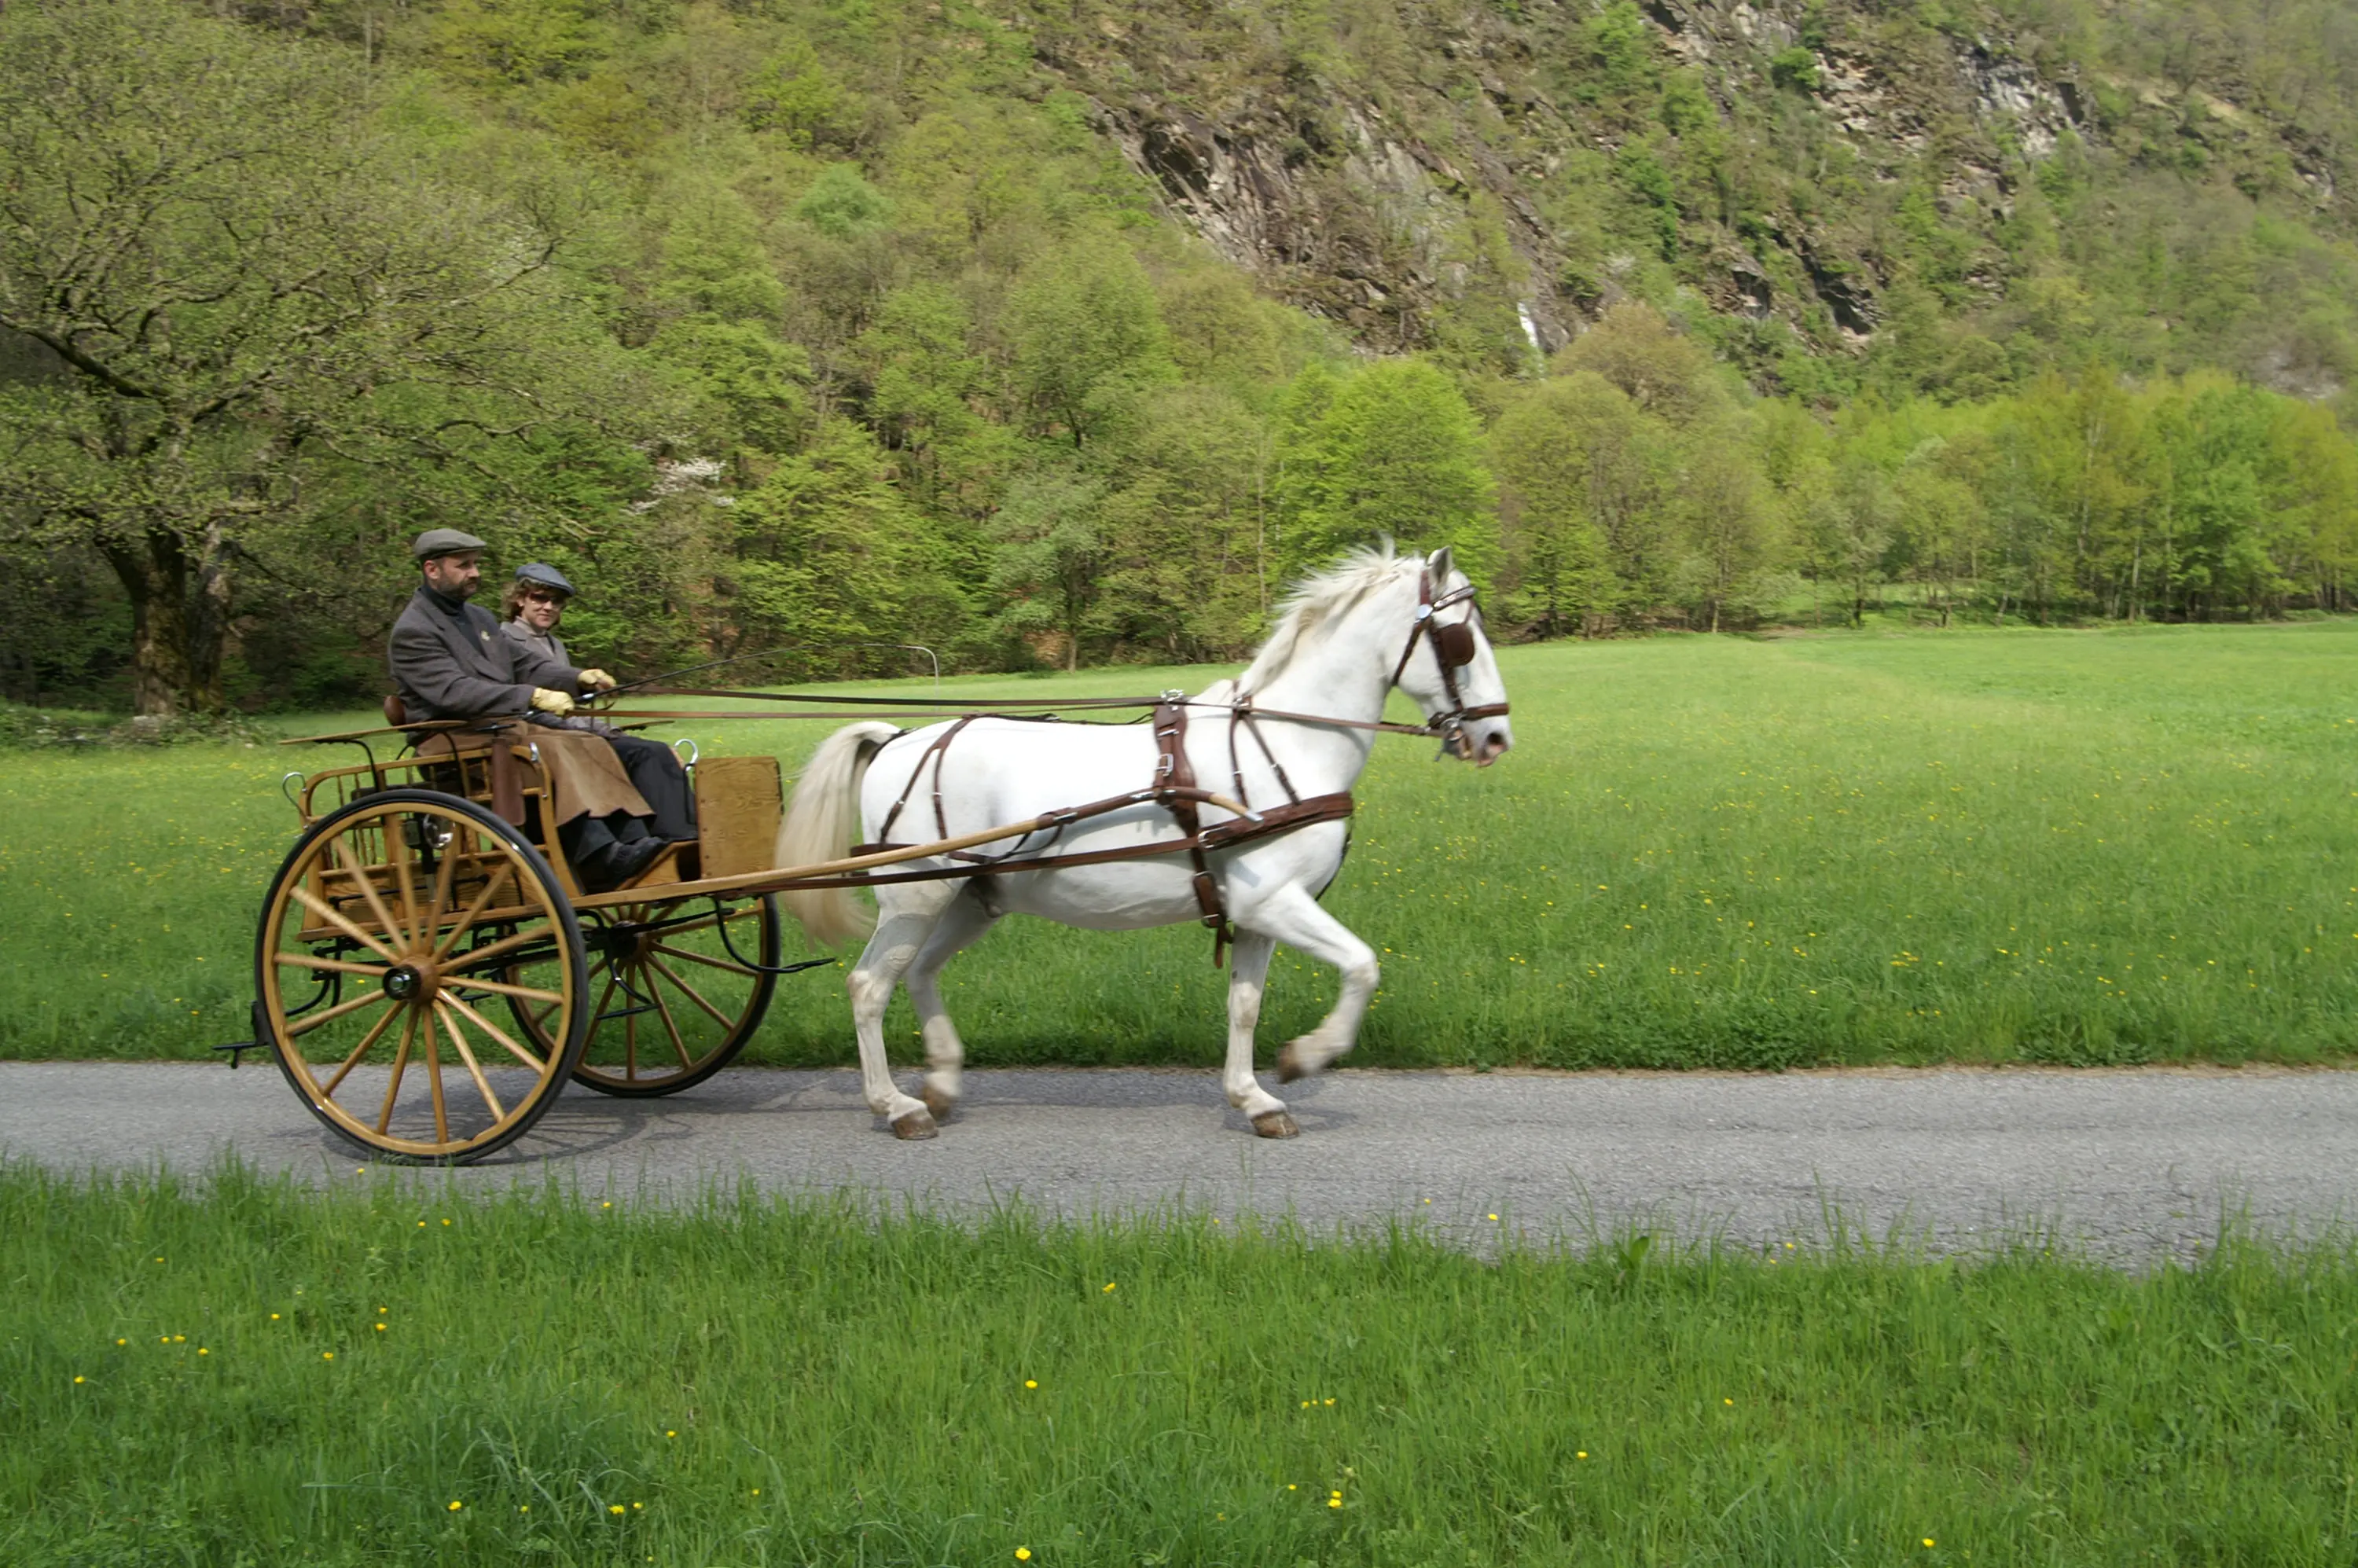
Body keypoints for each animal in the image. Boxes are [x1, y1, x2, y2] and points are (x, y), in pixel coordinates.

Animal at [772, 544, 1515, 1140]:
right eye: (1461, 639)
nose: (1496, 736)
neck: (1286, 743)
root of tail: (900, 738)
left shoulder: (1257, 915)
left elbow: (1245, 1006)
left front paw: (1254, 1099)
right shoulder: (1276, 901)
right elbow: (1362, 966)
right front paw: (1309, 1054)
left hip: (969, 897)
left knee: (920, 972)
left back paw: (943, 1081)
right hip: (917, 896)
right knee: (870, 986)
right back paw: (896, 1106)